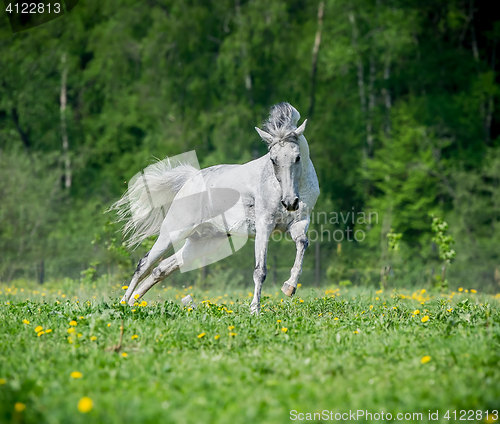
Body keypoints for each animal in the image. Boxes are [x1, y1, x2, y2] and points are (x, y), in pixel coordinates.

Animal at [110, 103, 320, 314]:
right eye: (273, 160)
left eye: (297, 157)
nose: (290, 202)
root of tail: (190, 179)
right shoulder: (264, 226)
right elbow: (260, 271)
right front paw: (254, 310)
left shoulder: (299, 223)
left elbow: (303, 244)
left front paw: (289, 287)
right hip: (174, 232)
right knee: (144, 265)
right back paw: (122, 304)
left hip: (204, 242)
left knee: (161, 269)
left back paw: (134, 303)